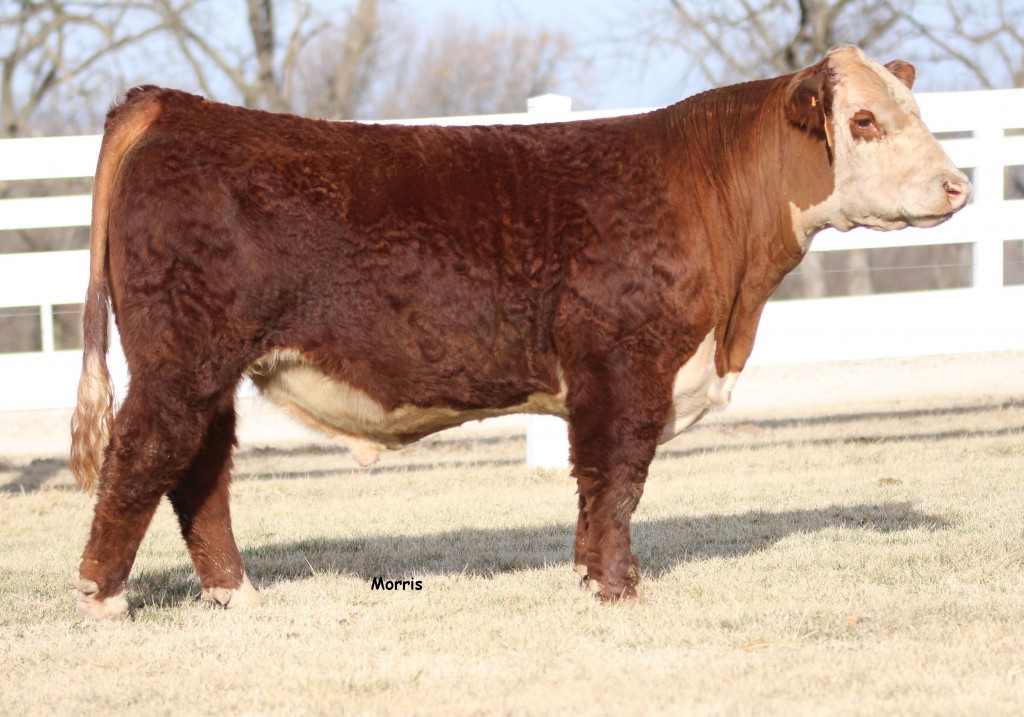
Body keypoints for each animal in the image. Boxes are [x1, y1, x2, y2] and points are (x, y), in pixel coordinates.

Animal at [70, 44, 966, 614]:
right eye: (863, 122)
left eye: (915, 108)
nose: (958, 184)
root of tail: (176, 107)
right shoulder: (623, 367)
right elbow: (616, 480)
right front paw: (616, 589)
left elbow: (596, 487)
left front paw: (588, 578)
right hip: (182, 357)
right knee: (146, 450)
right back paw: (102, 598)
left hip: (211, 368)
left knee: (200, 469)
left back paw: (235, 592)